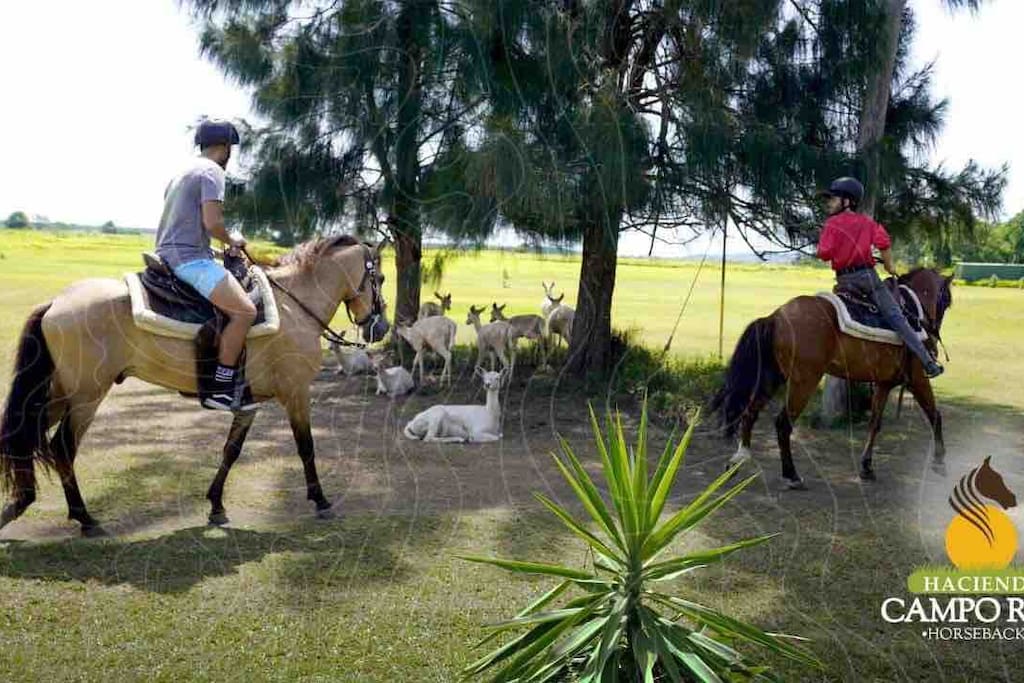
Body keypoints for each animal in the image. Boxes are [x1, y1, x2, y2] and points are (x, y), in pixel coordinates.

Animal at [0, 237, 389, 536]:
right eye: (382, 277)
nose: (380, 327)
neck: (293, 306)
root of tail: (57, 302)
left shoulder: (250, 402)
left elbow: (231, 450)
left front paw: (216, 505)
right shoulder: (295, 393)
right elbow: (306, 447)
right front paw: (321, 501)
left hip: (60, 393)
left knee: (26, 436)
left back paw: (18, 505)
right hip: (85, 397)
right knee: (62, 447)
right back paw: (85, 518)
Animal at [708, 266, 954, 485]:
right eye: (947, 301)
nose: (933, 331)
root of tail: (776, 317)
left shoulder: (883, 383)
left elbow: (875, 423)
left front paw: (867, 467)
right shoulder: (918, 379)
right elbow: (935, 415)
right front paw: (940, 462)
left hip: (773, 377)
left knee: (749, 413)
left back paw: (738, 461)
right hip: (804, 382)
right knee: (783, 423)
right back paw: (791, 475)